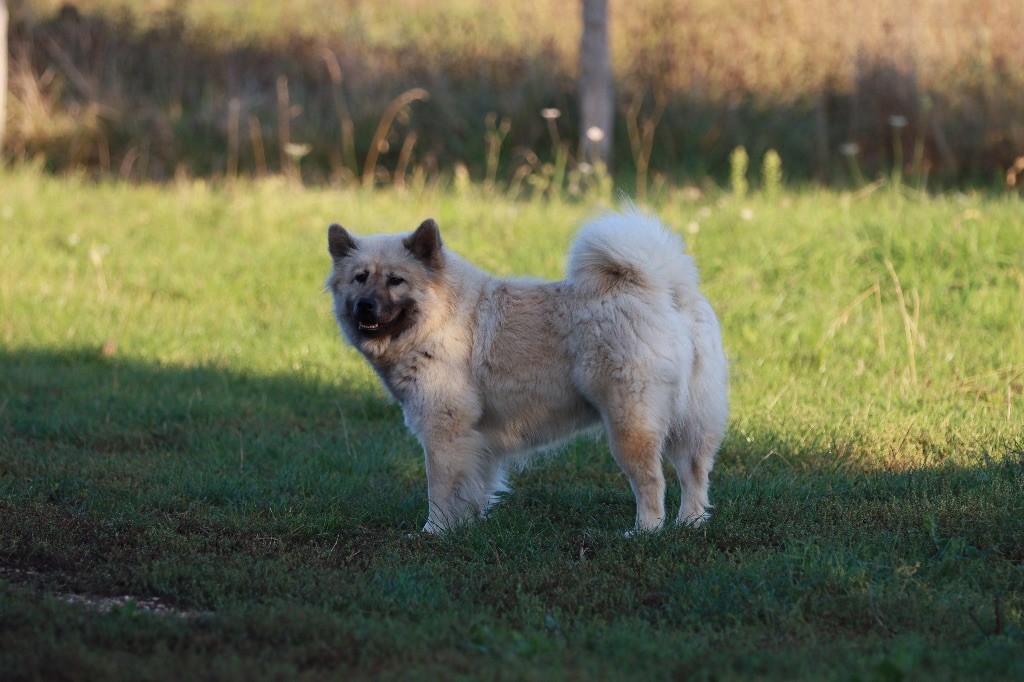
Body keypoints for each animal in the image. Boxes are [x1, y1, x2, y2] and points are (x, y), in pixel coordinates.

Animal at [327, 206, 729, 532]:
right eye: (360, 277)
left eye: (396, 281)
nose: (365, 305)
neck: (440, 318)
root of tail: (664, 290)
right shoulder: (476, 440)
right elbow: (473, 489)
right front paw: (468, 526)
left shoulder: (443, 430)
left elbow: (440, 491)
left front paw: (434, 532)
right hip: (689, 422)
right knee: (694, 474)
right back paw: (690, 524)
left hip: (630, 423)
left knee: (652, 482)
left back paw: (645, 531)